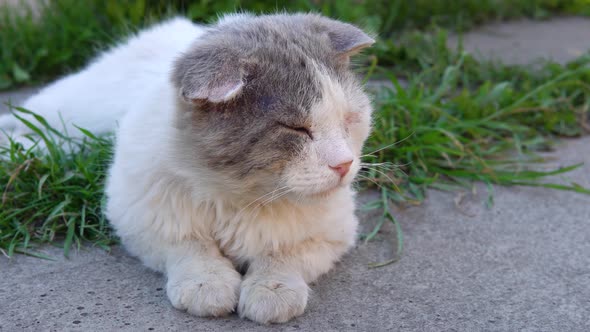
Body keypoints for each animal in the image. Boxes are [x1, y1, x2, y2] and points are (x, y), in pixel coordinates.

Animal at [1, 13, 374, 324]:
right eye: (296, 129)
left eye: (349, 120)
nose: (344, 164)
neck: (239, 195)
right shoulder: (140, 217)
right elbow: (189, 244)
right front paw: (207, 283)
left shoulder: (334, 230)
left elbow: (284, 252)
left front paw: (272, 289)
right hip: (69, 113)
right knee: (33, 119)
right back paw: (19, 148)